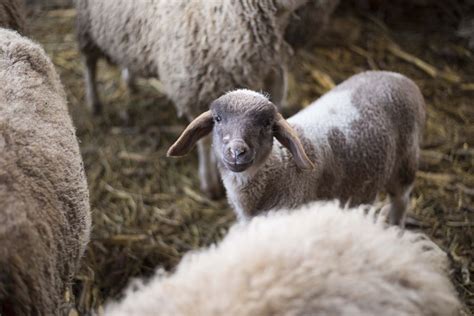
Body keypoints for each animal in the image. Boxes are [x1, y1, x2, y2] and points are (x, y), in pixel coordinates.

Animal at [74, 0, 336, 198]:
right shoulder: (194, 91)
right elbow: (201, 140)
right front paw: (209, 184)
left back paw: (130, 80)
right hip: (87, 26)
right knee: (89, 63)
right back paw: (95, 103)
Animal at [168, 71, 426, 225]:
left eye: (266, 124)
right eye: (218, 119)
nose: (237, 151)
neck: (278, 168)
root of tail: (401, 78)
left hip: (405, 164)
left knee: (401, 200)